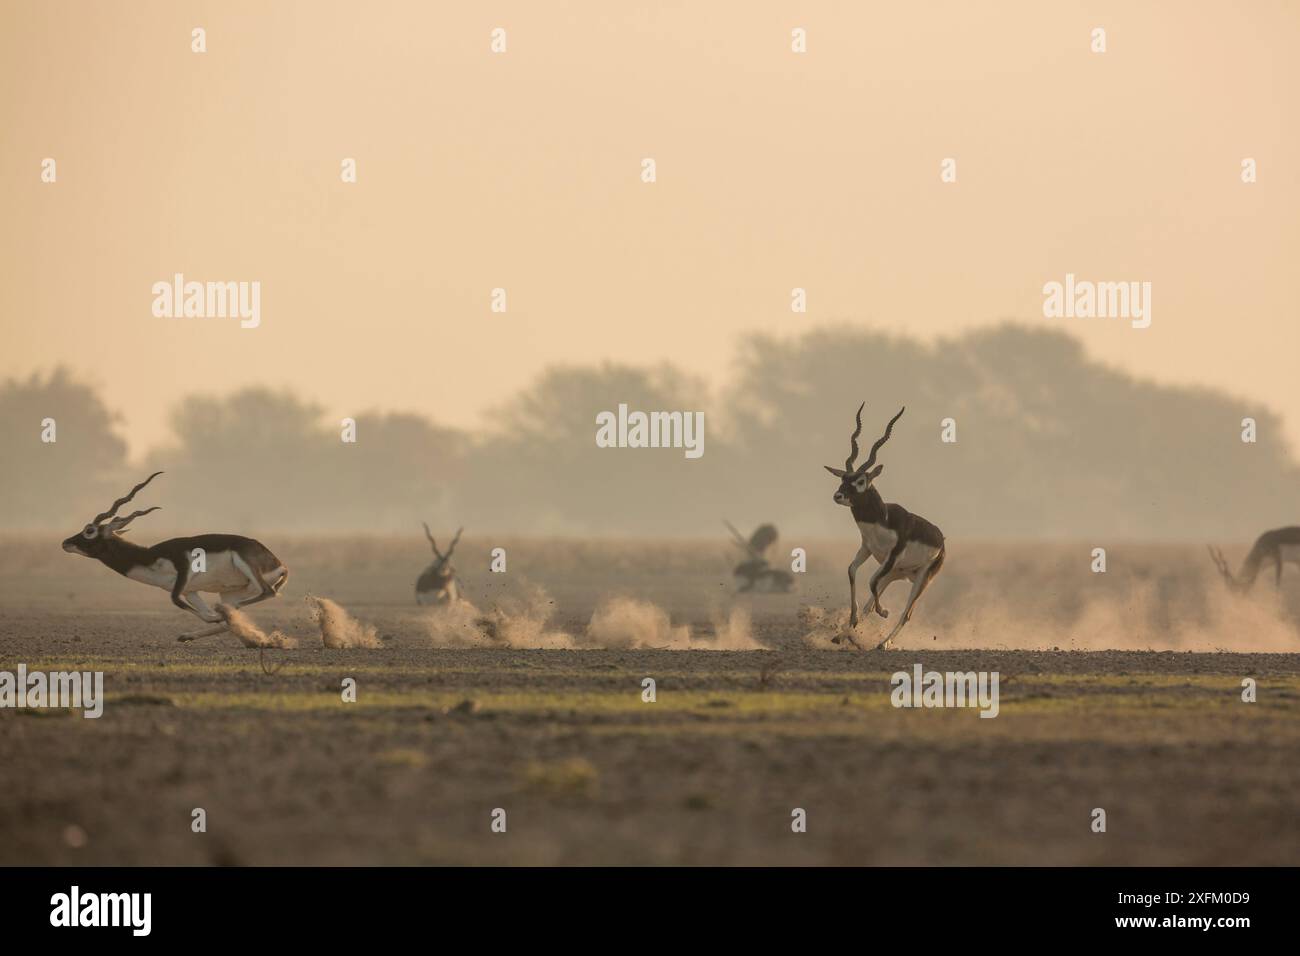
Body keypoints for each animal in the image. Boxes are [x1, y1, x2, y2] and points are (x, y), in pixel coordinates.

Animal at [60, 472, 289, 642]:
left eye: (89, 530)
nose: (65, 543)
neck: (150, 557)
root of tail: (279, 564)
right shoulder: (190, 591)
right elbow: (198, 610)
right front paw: (211, 620)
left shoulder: (183, 569)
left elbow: (176, 601)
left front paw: (216, 616)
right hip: (231, 592)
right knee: (234, 611)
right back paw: (191, 634)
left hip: (246, 566)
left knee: (267, 592)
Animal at [824, 404, 945, 650]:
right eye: (843, 478)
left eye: (861, 481)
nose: (838, 495)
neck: (883, 520)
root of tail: (942, 540)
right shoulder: (868, 549)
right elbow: (851, 571)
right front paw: (854, 618)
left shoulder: (891, 557)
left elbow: (870, 581)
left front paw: (884, 611)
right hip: (897, 573)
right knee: (872, 599)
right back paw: (842, 635)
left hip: (922, 578)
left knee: (907, 614)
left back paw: (883, 643)